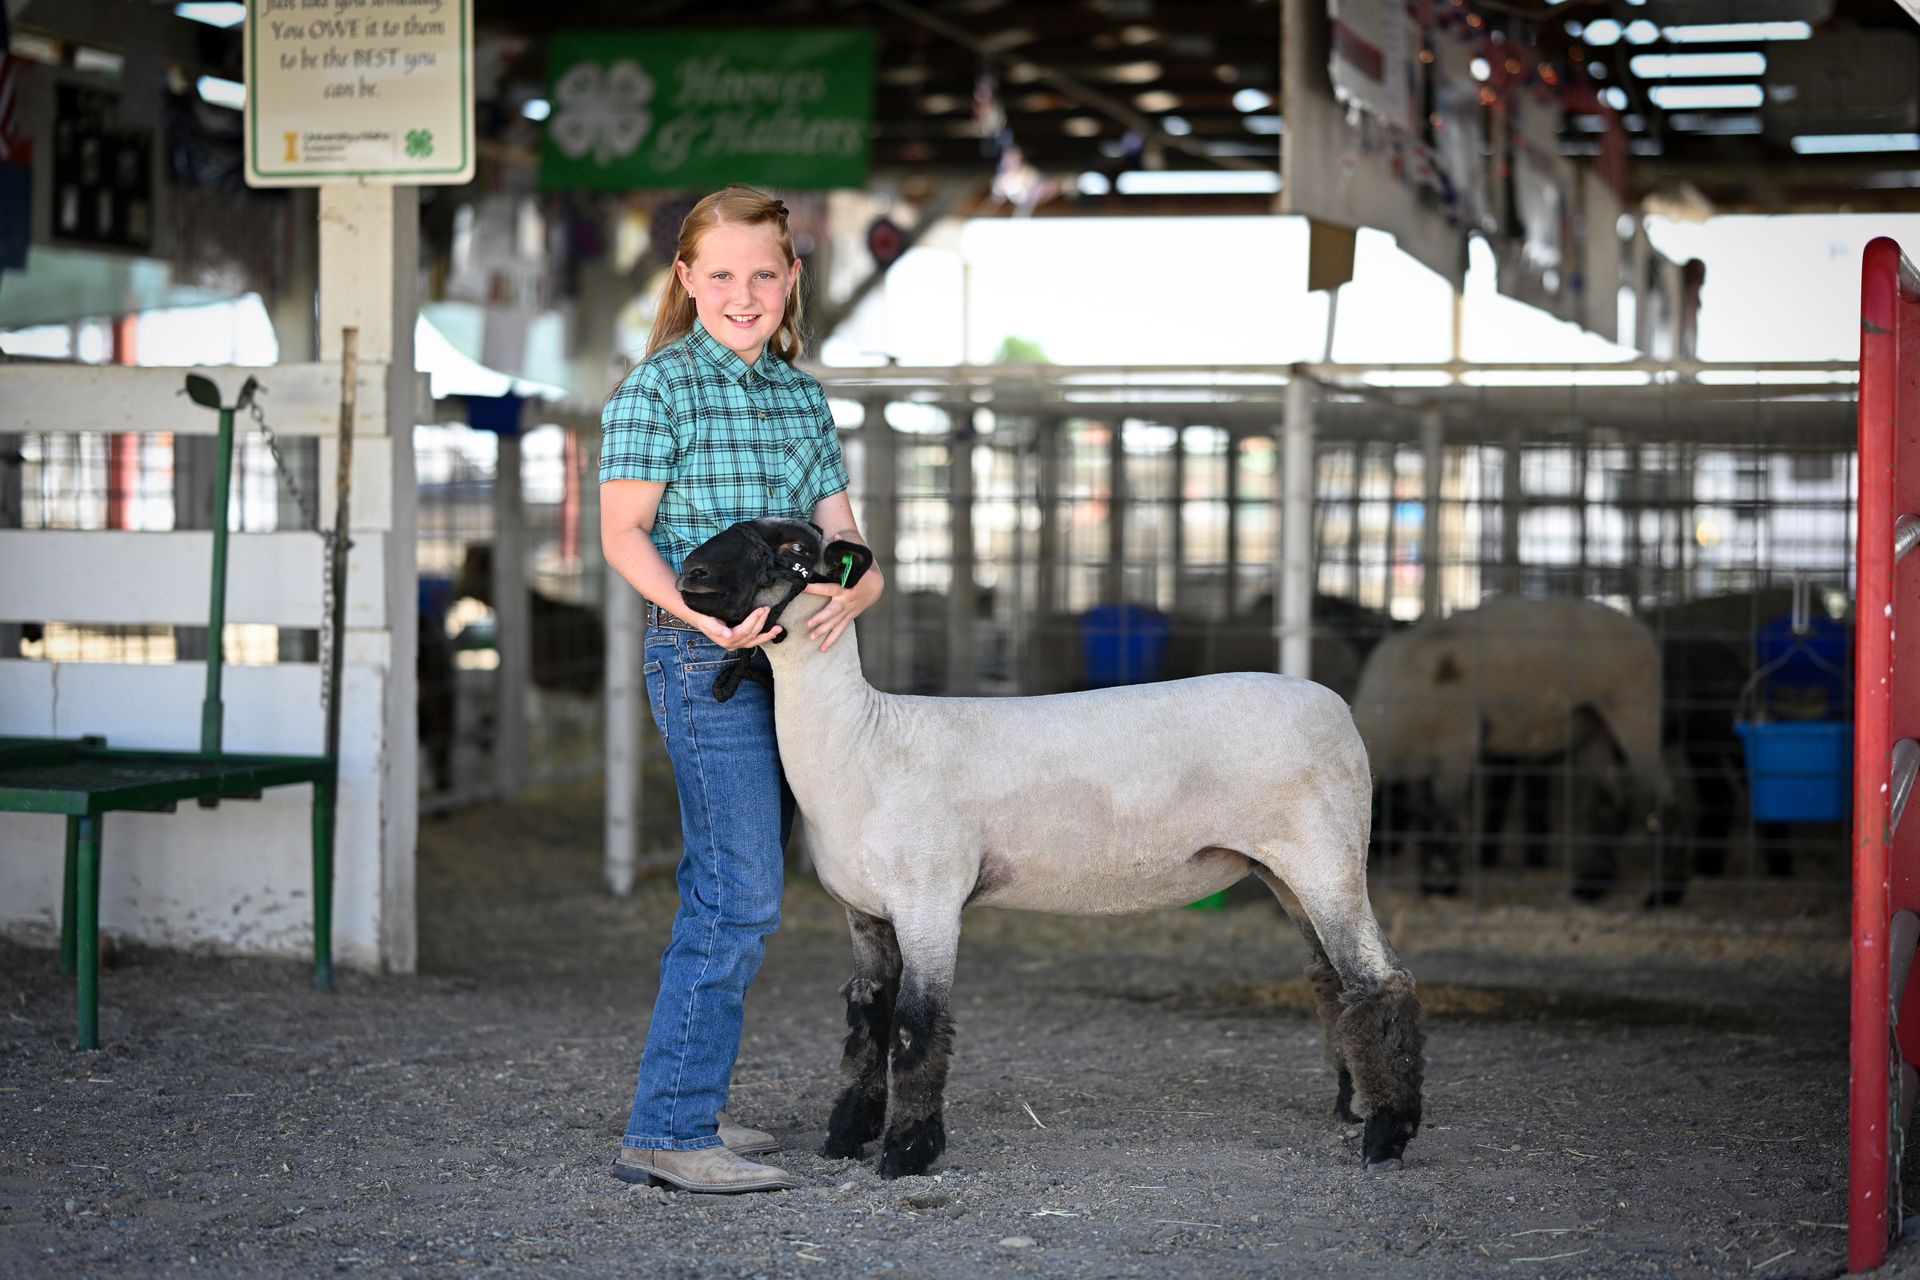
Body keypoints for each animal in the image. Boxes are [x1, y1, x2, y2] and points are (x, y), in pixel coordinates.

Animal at [673, 517, 1425, 1179]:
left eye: (794, 551)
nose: (690, 575)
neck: (863, 745)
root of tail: (1338, 707)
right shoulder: (864, 914)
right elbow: (867, 1023)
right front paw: (845, 1138)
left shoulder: (929, 899)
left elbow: (918, 1026)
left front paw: (907, 1151)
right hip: (1286, 871)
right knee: (1334, 982)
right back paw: (1357, 1105)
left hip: (1326, 855)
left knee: (1382, 982)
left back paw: (1388, 1136)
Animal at [1349, 597, 1670, 899]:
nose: (1384, 850)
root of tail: (1643, 633)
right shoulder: (1418, 763)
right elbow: (1426, 816)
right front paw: (1431, 882)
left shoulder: (1456, 744)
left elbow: (1444, 816)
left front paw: (1444, 885)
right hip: (1593, 727)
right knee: (1610, 800)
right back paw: (1592, 886)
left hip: (1635, 712)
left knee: (1662, 800)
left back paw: (1660, 894)